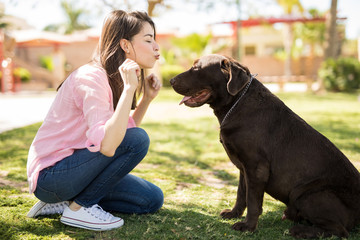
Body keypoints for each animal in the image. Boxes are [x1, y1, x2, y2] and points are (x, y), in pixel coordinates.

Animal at [170, 54, 360, 238]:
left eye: (196, 68)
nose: (171, 80)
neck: (236, 103)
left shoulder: (256, 168)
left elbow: (253, 201)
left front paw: (247, 227)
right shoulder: (243, 168)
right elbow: (241, 194)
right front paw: (234, 214)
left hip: (308, 194)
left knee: (339, 230)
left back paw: (301, 231)